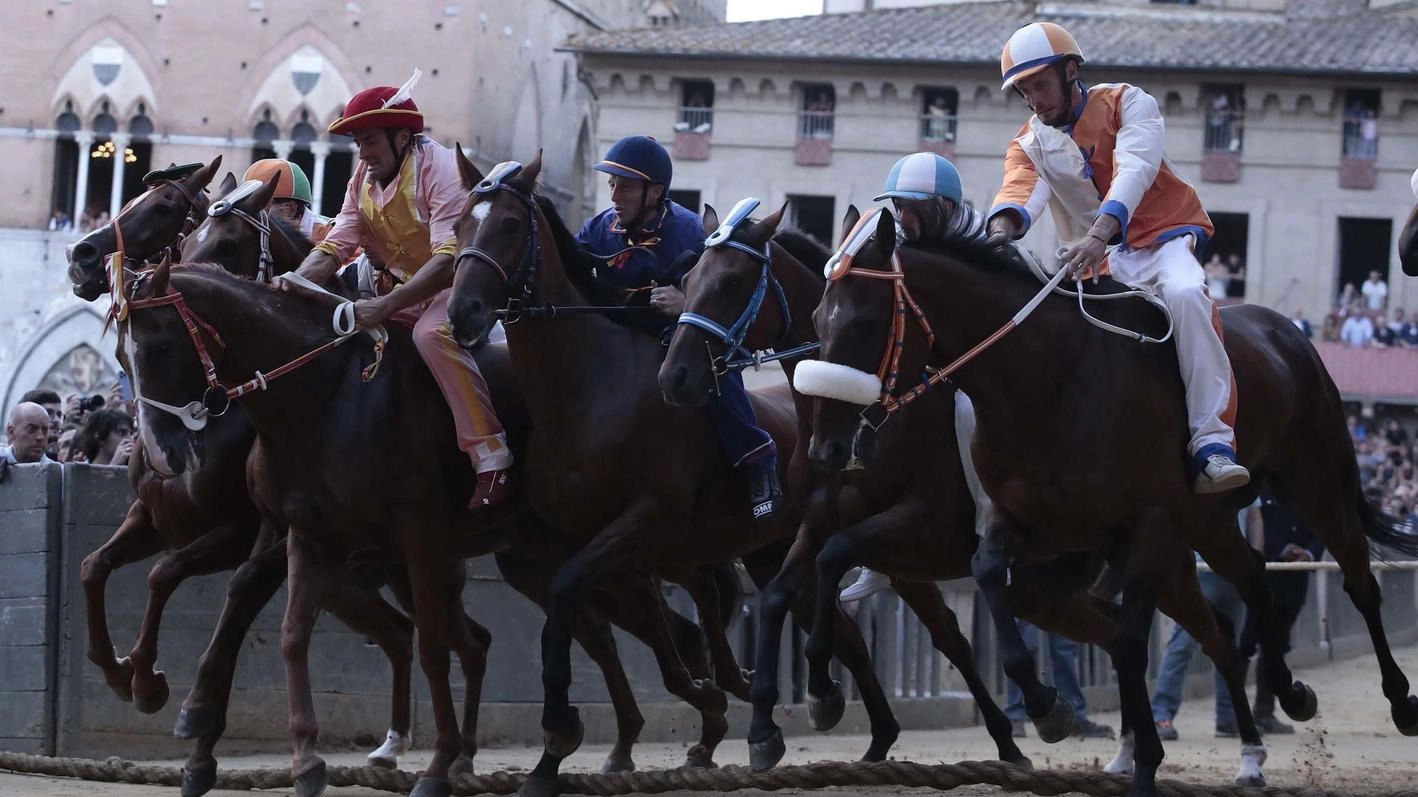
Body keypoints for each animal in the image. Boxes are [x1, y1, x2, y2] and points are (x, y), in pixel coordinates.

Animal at [442, 151, 901, 794]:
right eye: (461, 223)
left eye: (510, 225)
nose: (463, 312)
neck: (587, 390)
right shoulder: (580, 546)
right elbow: (601, 625)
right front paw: (552, 758)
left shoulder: (641, 524)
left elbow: (586, 609)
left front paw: (562, 728)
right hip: (765, 553)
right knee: (833, 629)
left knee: (845, 634)